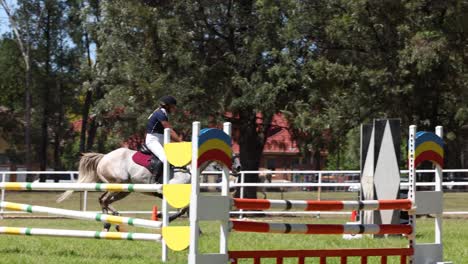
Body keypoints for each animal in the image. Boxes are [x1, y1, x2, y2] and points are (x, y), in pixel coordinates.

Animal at [55, 148, 191, 231]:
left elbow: (186, 210)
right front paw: (161, 215)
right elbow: (183, 209)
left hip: (123, 190)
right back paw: (109, 223)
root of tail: (104, 157)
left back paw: (114, 219)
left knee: (103, 200)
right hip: (118, 183)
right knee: (104, 200)